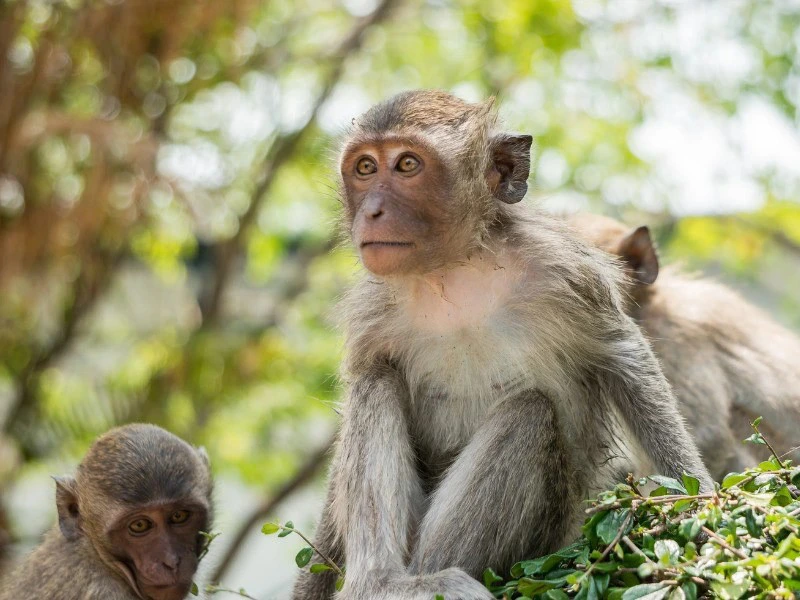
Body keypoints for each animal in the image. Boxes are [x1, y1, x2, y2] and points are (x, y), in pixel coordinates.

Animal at [292, 90, 712, 600]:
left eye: (408, 164)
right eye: (366, 168)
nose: (371, 211)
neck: (454, 273)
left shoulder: (567, 271)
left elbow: (623, 358)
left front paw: (701, 504)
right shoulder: (373, 309)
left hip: (543, 536)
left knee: (529, 412)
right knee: (376, 381)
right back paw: (380, 582)